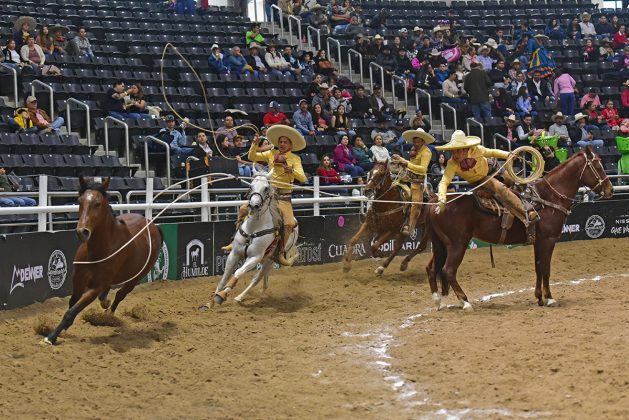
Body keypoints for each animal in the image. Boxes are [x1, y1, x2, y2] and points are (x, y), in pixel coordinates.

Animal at [43, 177, 162, 344]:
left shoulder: (95, 287)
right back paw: (105, 301)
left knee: (120, 294)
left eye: (98, 203)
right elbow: (72, 304)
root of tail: (153, 226)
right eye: (79, 201)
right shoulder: (78, 279)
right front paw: (61, 331)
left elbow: (72, 311)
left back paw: (108, 314)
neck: (98, 249)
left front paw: (51, 337)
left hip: (136, 276)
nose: (82, 232)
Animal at [204, 168, 296, 308]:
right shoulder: (234, 254)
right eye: (251, 186)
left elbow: (238, 272)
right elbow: (224, 278)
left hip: (270, 259)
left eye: (266, 188)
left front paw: (221, 296)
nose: (253, 206)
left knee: (256, 278)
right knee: (263, 278)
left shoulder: (254, 257)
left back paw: (239, 297)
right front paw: (210, 303)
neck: (253, 229)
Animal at [424, 146, 612, 310]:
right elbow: (546, 268)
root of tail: (435, 202)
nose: (610, 189)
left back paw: (439, 302)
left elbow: (538, 267)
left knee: (432, 268)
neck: (549, 197)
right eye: (598, 166)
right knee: (448, 270)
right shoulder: (548, 239)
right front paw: (550, 298)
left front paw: (539, 297)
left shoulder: (538, 241)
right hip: (457, 244)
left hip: (441, 245)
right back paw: (465, 302)